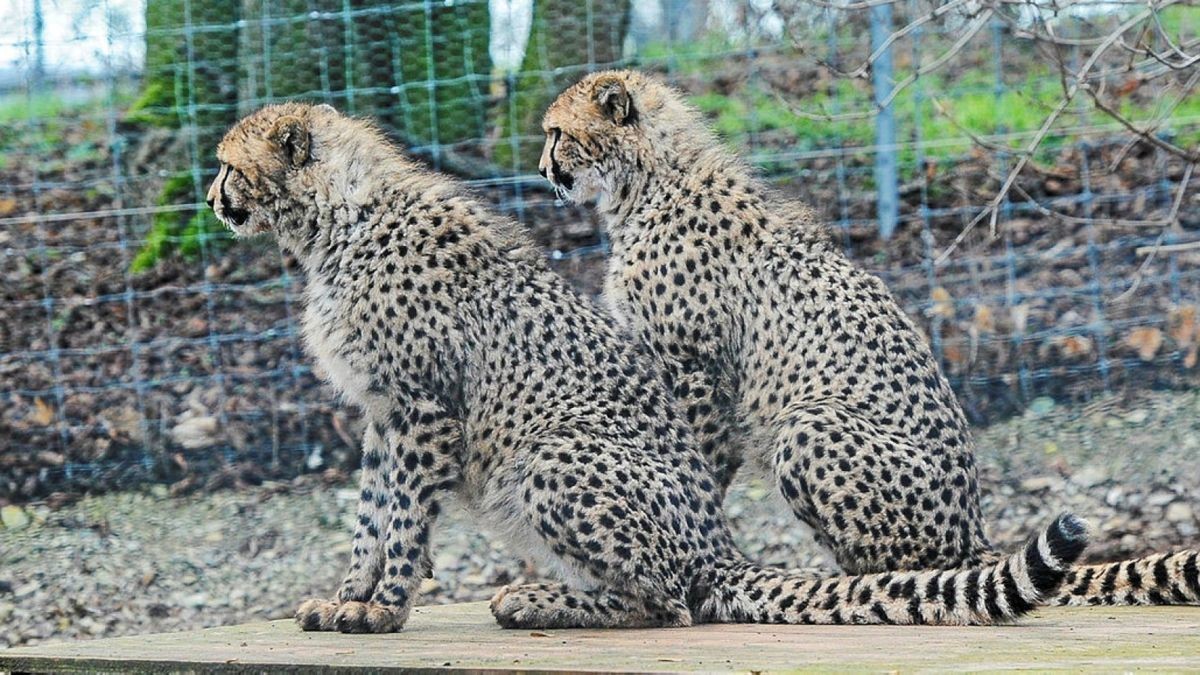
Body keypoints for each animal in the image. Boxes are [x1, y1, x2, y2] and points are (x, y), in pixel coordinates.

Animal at [204, 100, 1089, 629]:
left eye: (227, 164)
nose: (211, 198)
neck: (334, 223)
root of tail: (719, 548)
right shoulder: (383, 412)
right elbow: (369, 516)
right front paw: (347, 597)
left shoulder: (422, 407)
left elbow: (403, 521)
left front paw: (383, 609)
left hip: (561, 453)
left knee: (667, 601)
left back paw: (540, 599)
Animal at [542, 69, 1200, 605]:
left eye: (555, 133)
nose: (543, 170)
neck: (647, 181)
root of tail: (972, 532)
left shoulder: (697, 370)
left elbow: (697, 461)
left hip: (809, 426)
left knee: (910, 568)